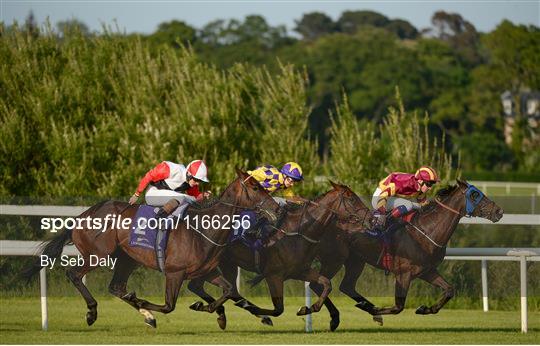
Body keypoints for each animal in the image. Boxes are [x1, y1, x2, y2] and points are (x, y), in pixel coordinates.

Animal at [21, 170, 278, 328]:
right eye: (255, 187)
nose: (275, 207)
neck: (202, 230)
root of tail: (82, 216)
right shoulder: (175, 273)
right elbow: (169, 306)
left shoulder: (207, 272)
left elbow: (228, 291)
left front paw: (212, 311)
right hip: (97, 254)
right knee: (74, 274)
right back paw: (93, 312)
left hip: (126, 259)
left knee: (116, 287)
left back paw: (144, 314)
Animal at [186, 181, 372, 330]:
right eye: (351, 199)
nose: (371, 219)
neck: (298, 232)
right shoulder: (273, 275)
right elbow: (278, 309)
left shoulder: (301, 271)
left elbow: (326, 284)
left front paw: (309, 309)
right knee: (211, 288)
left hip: (226, 263)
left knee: (207, 287)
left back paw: (217, 312)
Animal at [310, 180, 504, 332]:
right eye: (475, 195)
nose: (499, 211)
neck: (426, 232)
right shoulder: (403, 273)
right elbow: (398, 306)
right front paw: (376, 311)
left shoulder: (427, 271)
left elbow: (449, 289)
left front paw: (425, 309)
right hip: (335, 259)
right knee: (319, 284)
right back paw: (339, 317)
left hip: (356, 260)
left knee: (346, 286)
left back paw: (362, 306)